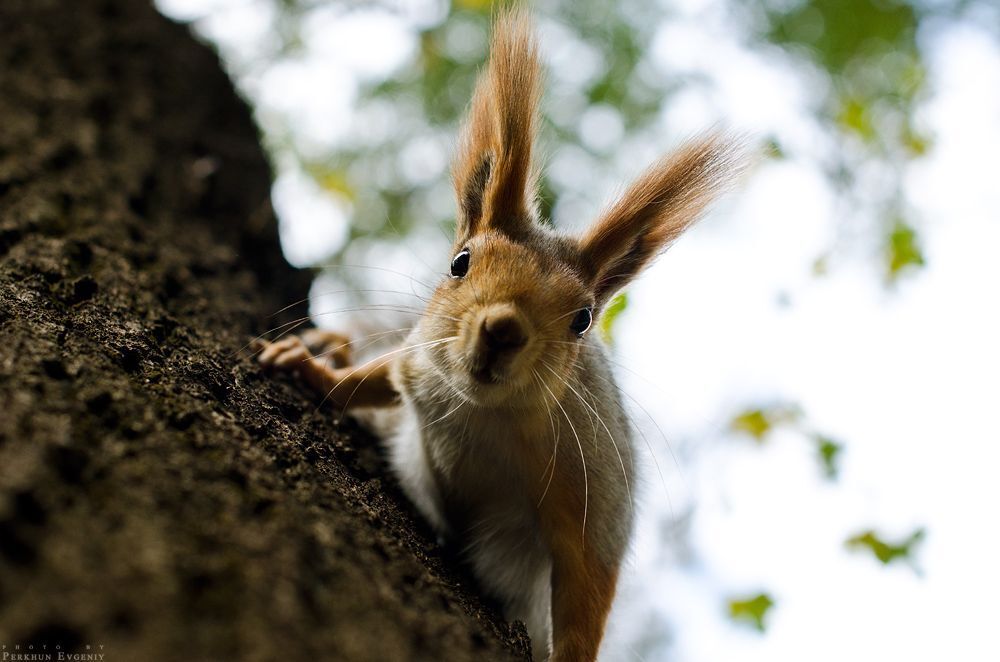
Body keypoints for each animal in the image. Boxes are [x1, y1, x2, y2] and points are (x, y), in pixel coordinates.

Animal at [258, 10, 745, 661]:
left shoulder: (591, 489)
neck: (482, 412)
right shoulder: (417, 362)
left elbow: (588, 585)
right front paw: (309, 368)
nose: (503, 330)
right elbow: (368, 382)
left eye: (583, 319)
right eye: (460, 263)